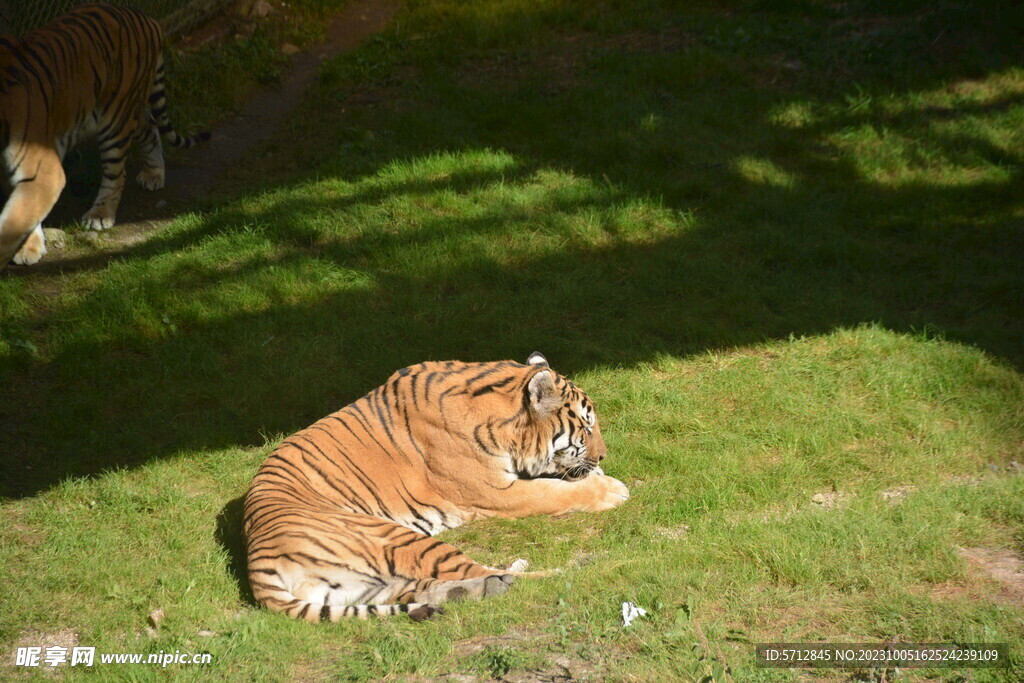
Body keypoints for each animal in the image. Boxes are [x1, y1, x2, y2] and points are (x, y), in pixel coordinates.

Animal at [0, 2, 208, 270]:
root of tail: (147, 18)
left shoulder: (43, 168)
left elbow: (17, 218)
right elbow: (24, 211)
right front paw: (29, 247)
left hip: (115, 119)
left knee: (117, 174)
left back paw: (100, 215)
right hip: (129, 112)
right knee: (150, 127)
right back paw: (153, 174)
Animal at [245, 356, 630, 622]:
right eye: (587, 426)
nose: (603, 455)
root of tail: (257, 561)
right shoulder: (495, 493)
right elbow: (554, 492)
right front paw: (612, 488)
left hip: (368, 583)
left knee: (431, 586)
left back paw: (489, 585)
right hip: (399, 538)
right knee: (496, 573)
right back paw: (572, 567)